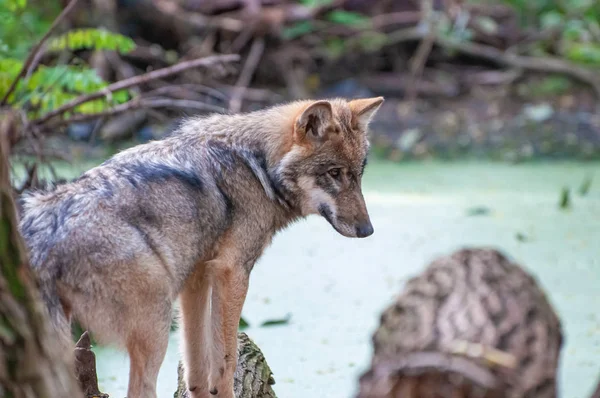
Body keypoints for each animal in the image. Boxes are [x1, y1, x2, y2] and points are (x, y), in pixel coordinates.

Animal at [19, 96, 384, 398]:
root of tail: (43, 229)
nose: (368, 231)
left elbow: (198, 364)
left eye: (358, 174)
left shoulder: (196, 278)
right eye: (334, 174)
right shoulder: (232, 273)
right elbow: (225, 359)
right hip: (156, 323)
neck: (258, 167)